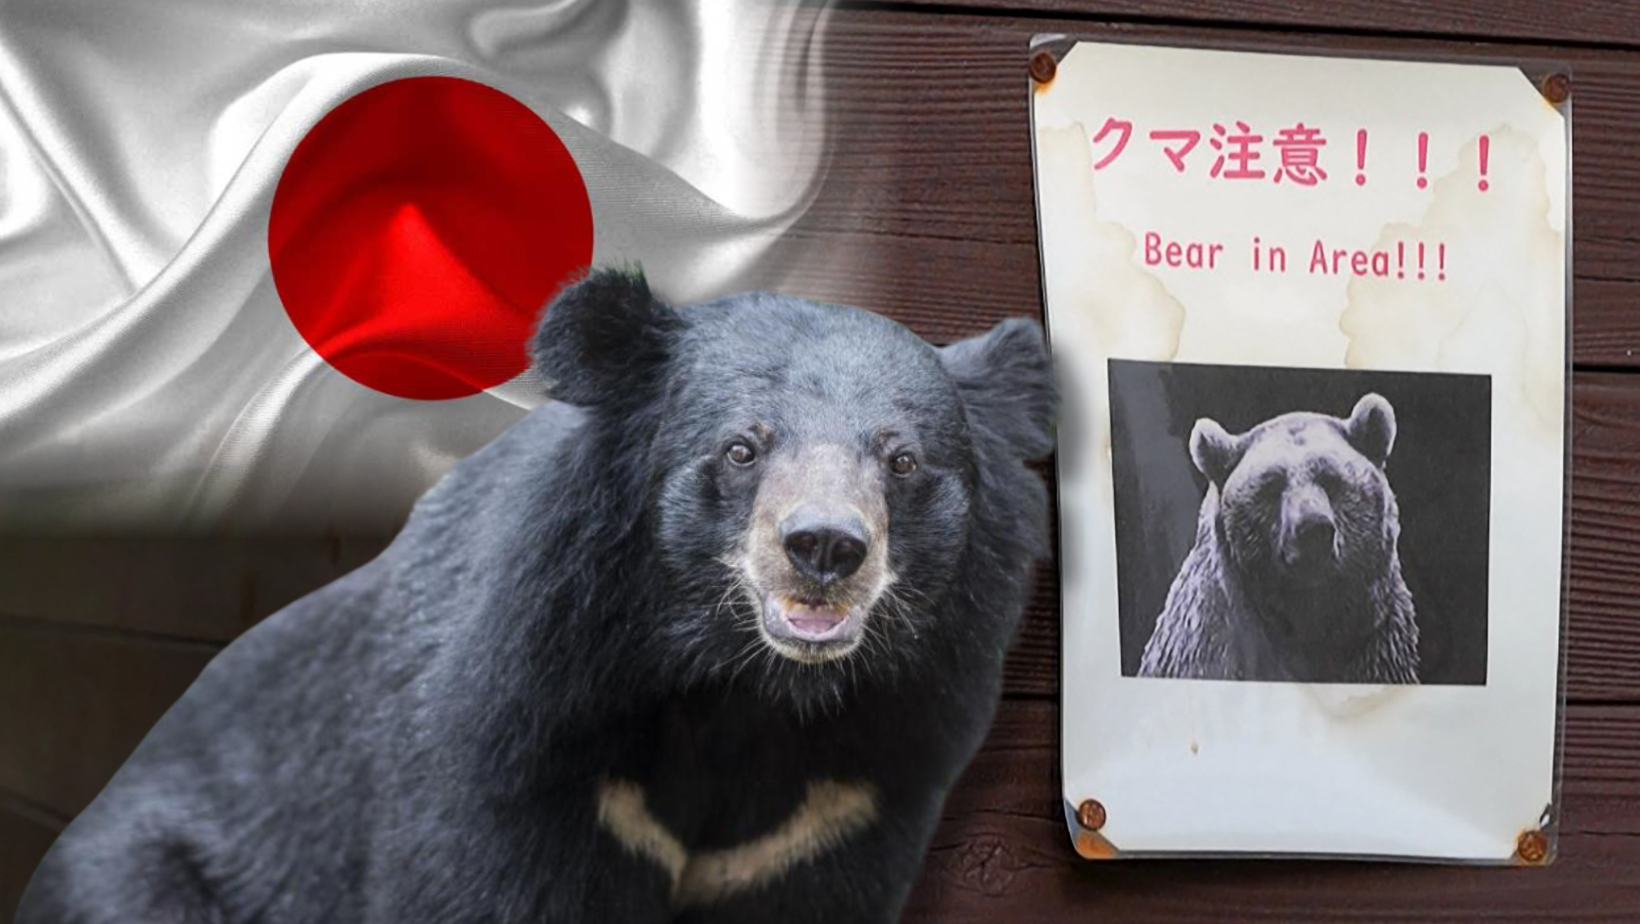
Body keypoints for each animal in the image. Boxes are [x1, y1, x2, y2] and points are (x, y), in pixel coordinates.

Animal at [17, 269, 1057, 924]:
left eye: (903, 460)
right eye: (741, 448)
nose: (824, 548)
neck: (740, 688)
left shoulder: (851, 798)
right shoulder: (521, 737)